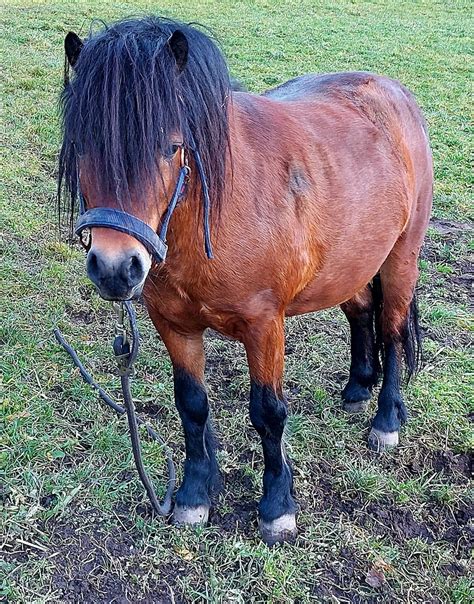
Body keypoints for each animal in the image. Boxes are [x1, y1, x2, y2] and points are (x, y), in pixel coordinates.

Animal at [57, 14, 432, 544]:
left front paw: (276, 508)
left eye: (172, 147)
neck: (216, 213)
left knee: (393, 330)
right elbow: (191, 403)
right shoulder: (173, 323)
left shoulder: (264, 325)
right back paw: (358, 389)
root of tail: (395, 95)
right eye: (82, 144)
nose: (115, 266)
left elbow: (268, 414)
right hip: (351, 261)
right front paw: (194, 494)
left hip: (400, 258)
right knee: (361, 314)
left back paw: (384, 419)